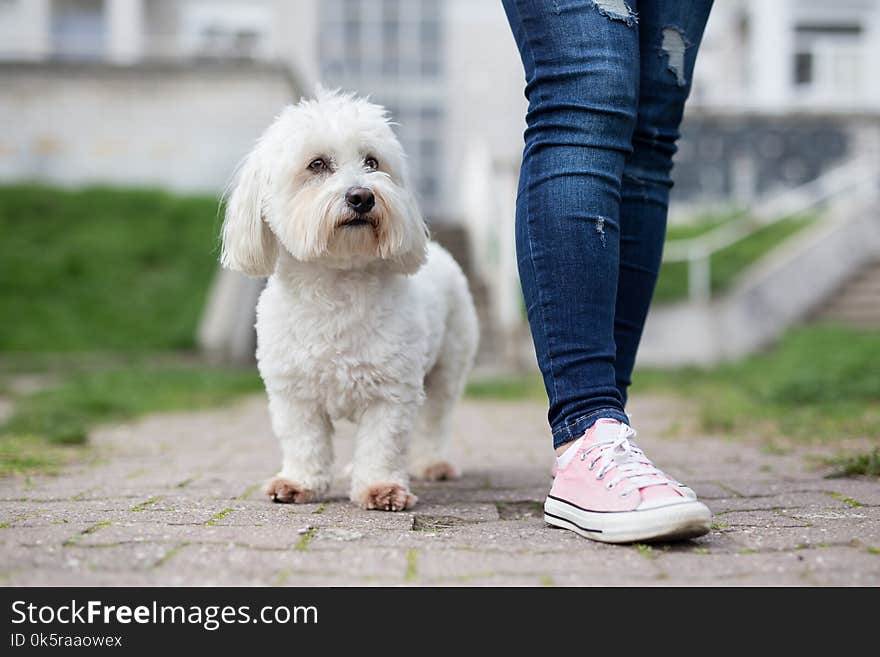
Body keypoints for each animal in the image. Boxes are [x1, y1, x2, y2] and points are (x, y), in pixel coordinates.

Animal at [223, 87, 478, 510]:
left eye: (372, 162)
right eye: (317, 164)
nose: (362, 196)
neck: (336, 283)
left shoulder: (391, 393)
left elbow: (382, 444)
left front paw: (380, 487)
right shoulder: (293, 394)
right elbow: (304, 441)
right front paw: (298, 482)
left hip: (448, 367)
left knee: (435, 420)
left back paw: (432, 463)